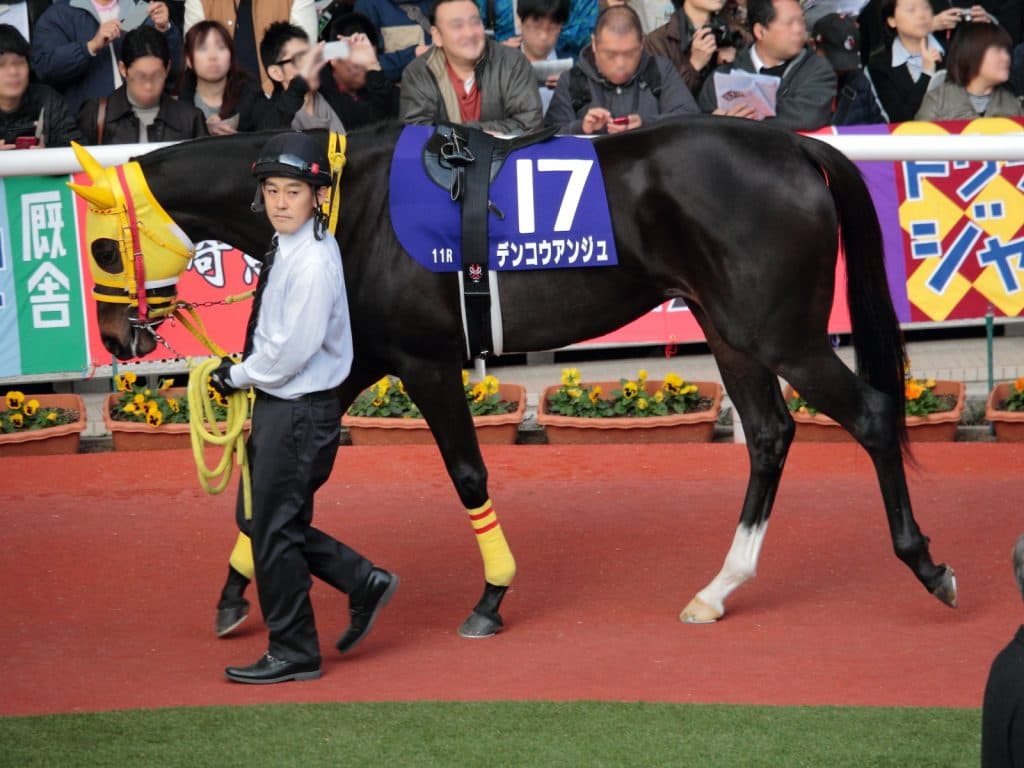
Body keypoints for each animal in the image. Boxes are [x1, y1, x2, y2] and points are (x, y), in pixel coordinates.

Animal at [70, 117, 958, 638]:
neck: (347, 202)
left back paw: (927, 565)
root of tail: (798, 145)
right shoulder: (356, 360)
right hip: (731, 328)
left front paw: (493, 595)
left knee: (871, 416)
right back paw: (719, 587)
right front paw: (233, 592)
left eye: (102, 249)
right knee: (770, 434)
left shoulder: (423, 361)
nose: (115, 338)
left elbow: (467, 473)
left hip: (783, 333)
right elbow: (281, 478)